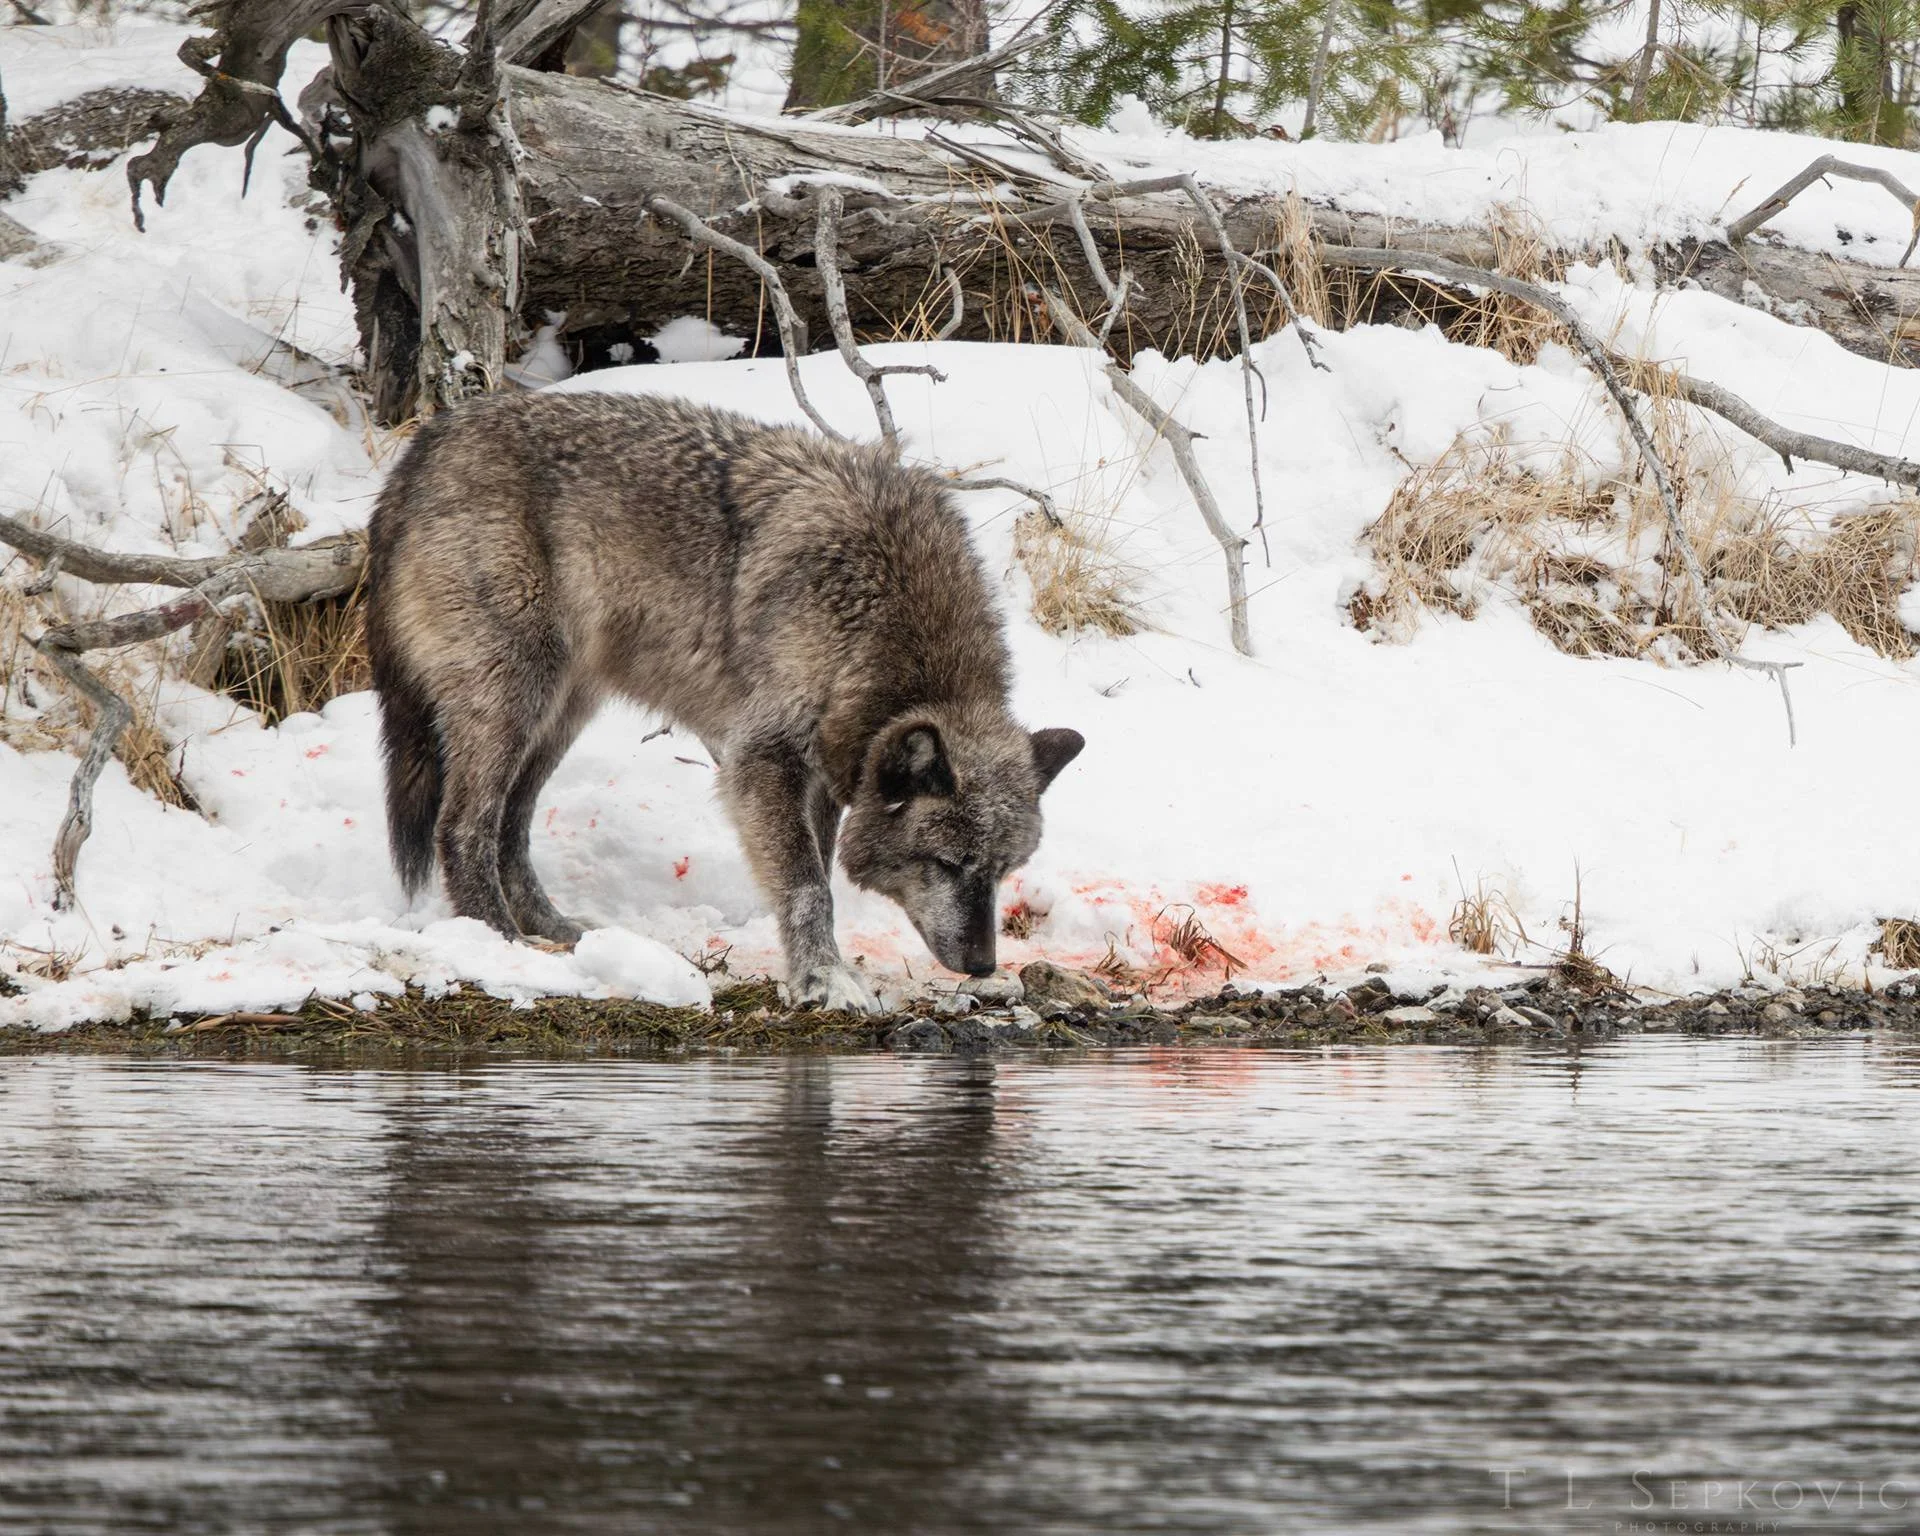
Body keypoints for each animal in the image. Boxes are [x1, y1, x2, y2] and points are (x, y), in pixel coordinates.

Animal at [364, 390, 1084, 1013]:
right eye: (947, 864)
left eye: (1004, 869)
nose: (985, 964)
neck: (882, 623)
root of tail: (428, 441)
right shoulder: (763, 757)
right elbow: (807, 886)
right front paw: (824, 982)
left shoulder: (826, 774)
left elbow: (816, 872)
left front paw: (817, 968)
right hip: (517, 697)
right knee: (463, 827)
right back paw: (503, 942)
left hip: (562, 714)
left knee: (512, 825)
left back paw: (555, 929)